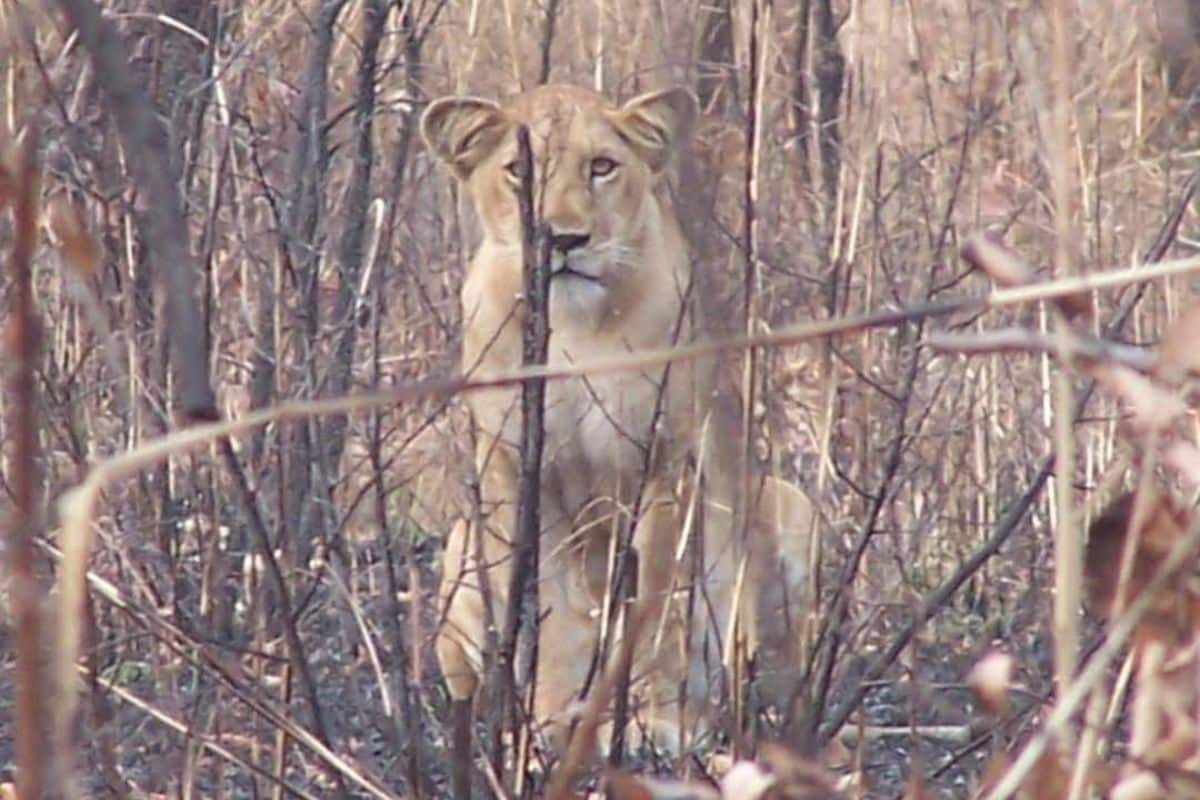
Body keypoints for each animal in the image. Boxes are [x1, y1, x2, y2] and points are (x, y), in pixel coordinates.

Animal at [419, 83, 815, 772]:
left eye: (602, 166)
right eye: (519, 171)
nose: (563, 239)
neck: (574, 329)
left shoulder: (665, 466)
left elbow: (654, 610)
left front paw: (656, 723)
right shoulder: (516, 473)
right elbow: (553, 616)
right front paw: (551, 729)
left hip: (792, 507)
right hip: (461, 544)